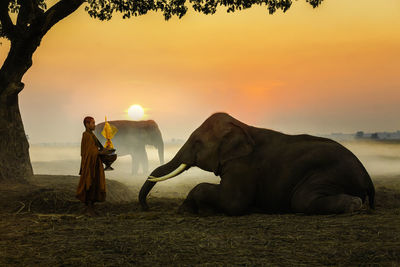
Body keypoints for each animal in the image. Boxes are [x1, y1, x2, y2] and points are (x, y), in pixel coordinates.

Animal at [138, 112, 376, 216]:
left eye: (197, 143)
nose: (147, 207)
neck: (242, 126)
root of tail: (366, 176)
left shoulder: (243, 166)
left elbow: (233, 202)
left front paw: (188, 210)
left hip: (331, 174)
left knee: (302, 200)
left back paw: (355, 205)